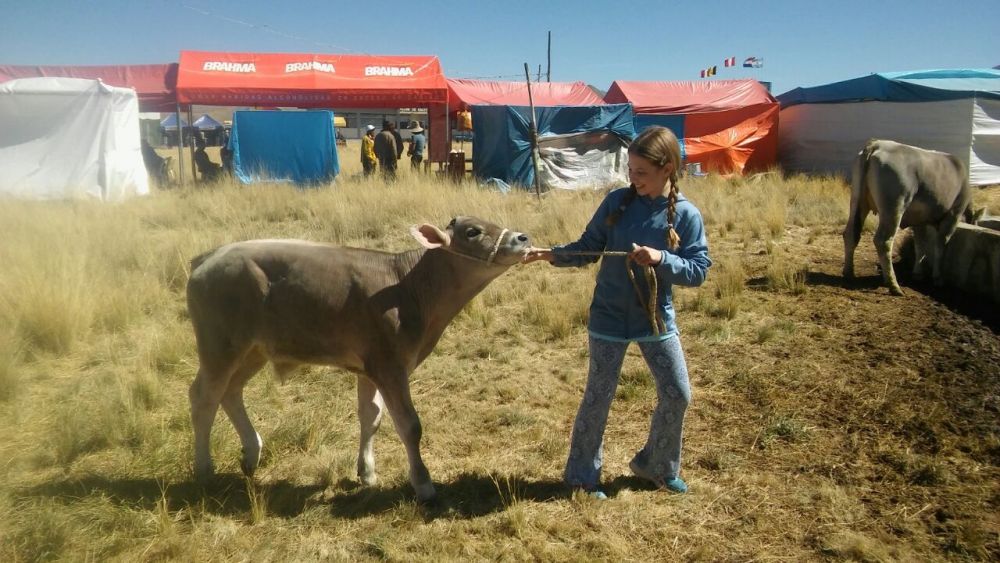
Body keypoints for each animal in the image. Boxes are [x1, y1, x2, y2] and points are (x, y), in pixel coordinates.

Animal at [188, 217, 532, 502]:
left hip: (252, 350)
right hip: (219, 345)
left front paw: (367, 472)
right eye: (473, 231)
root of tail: (209, 257)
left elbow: (372, 416)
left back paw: (251, 452)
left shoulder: (370, 368)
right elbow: (410, 425)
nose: (523, 237)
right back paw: (205, 469)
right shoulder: (390, 366)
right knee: (204, 397)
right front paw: (423, 484)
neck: (408, 286)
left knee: (230, 392)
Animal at [840, 140, 980, 296]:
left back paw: (849, 273)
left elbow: (920, 245)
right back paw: (894, 285)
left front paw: (917, 273)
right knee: (883, 241)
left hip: (858, 201)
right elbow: (940, 245)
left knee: (851, 234)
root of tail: (877, 144)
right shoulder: (953, 214)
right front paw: (938, 278)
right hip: (894, 206)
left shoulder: (919, 221)